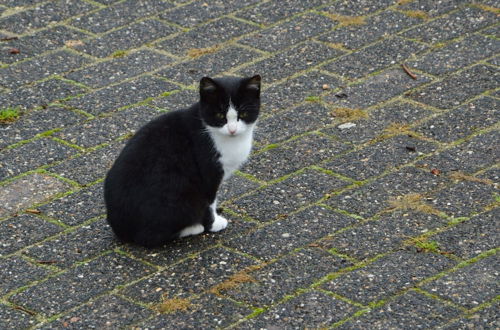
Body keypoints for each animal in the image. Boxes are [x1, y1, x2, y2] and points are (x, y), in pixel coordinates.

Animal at [104, 75, 262, 248]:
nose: (232, 129)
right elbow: (209, 202)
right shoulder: (208, 174)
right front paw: (214, 224)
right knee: (148, 238)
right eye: (220, 116)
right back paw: (193, 227)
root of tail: (120, 229)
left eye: (244, 113)